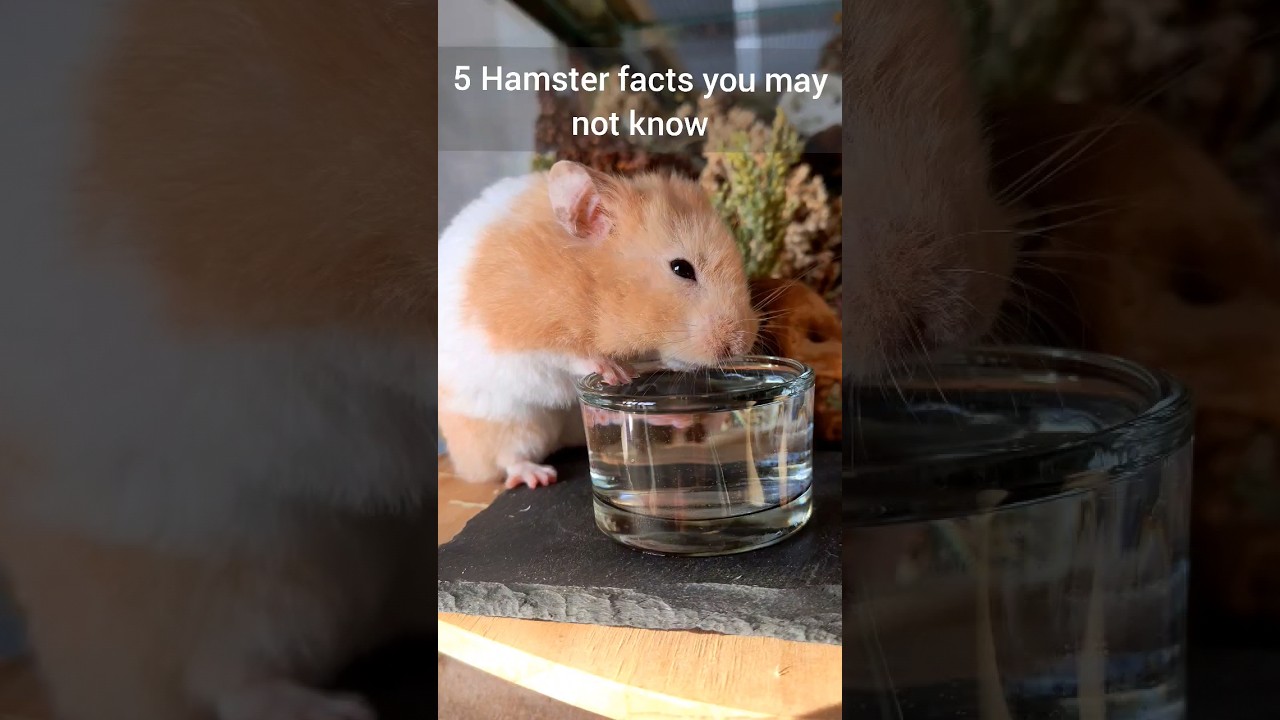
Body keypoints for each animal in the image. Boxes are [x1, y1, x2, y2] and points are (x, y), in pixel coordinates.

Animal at [437, 161, 759, 489]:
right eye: (681, 269)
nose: (741, 345)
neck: (591, 286)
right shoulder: (523, 332)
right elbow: (567, 354)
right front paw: (618, 372)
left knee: (609, 419)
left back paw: (671, 418)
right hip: (505, 422)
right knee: (508, 458)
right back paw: (539, 476)